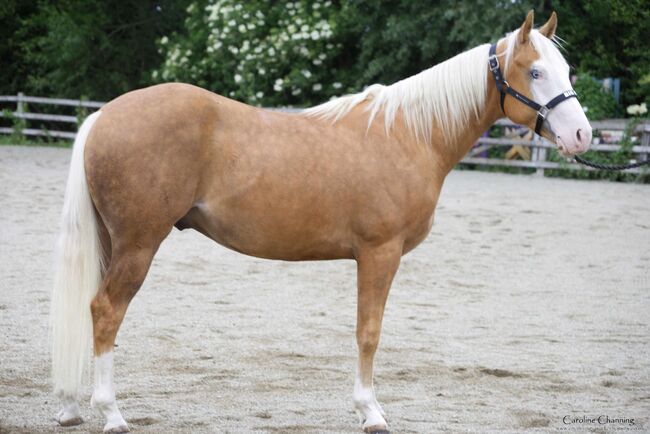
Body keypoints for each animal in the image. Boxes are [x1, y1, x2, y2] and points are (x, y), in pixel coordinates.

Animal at [52, 11, 588, 432]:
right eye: (535, 71)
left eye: (565, 70)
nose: (582, 135)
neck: (409, 134)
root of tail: (102, 116)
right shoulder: (379, 253)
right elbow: (369, 332)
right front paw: (370, 412)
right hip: (139, 244)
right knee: (106, 311)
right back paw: (112, 414)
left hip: (112, 243)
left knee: (89, 308)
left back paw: (71, 407)